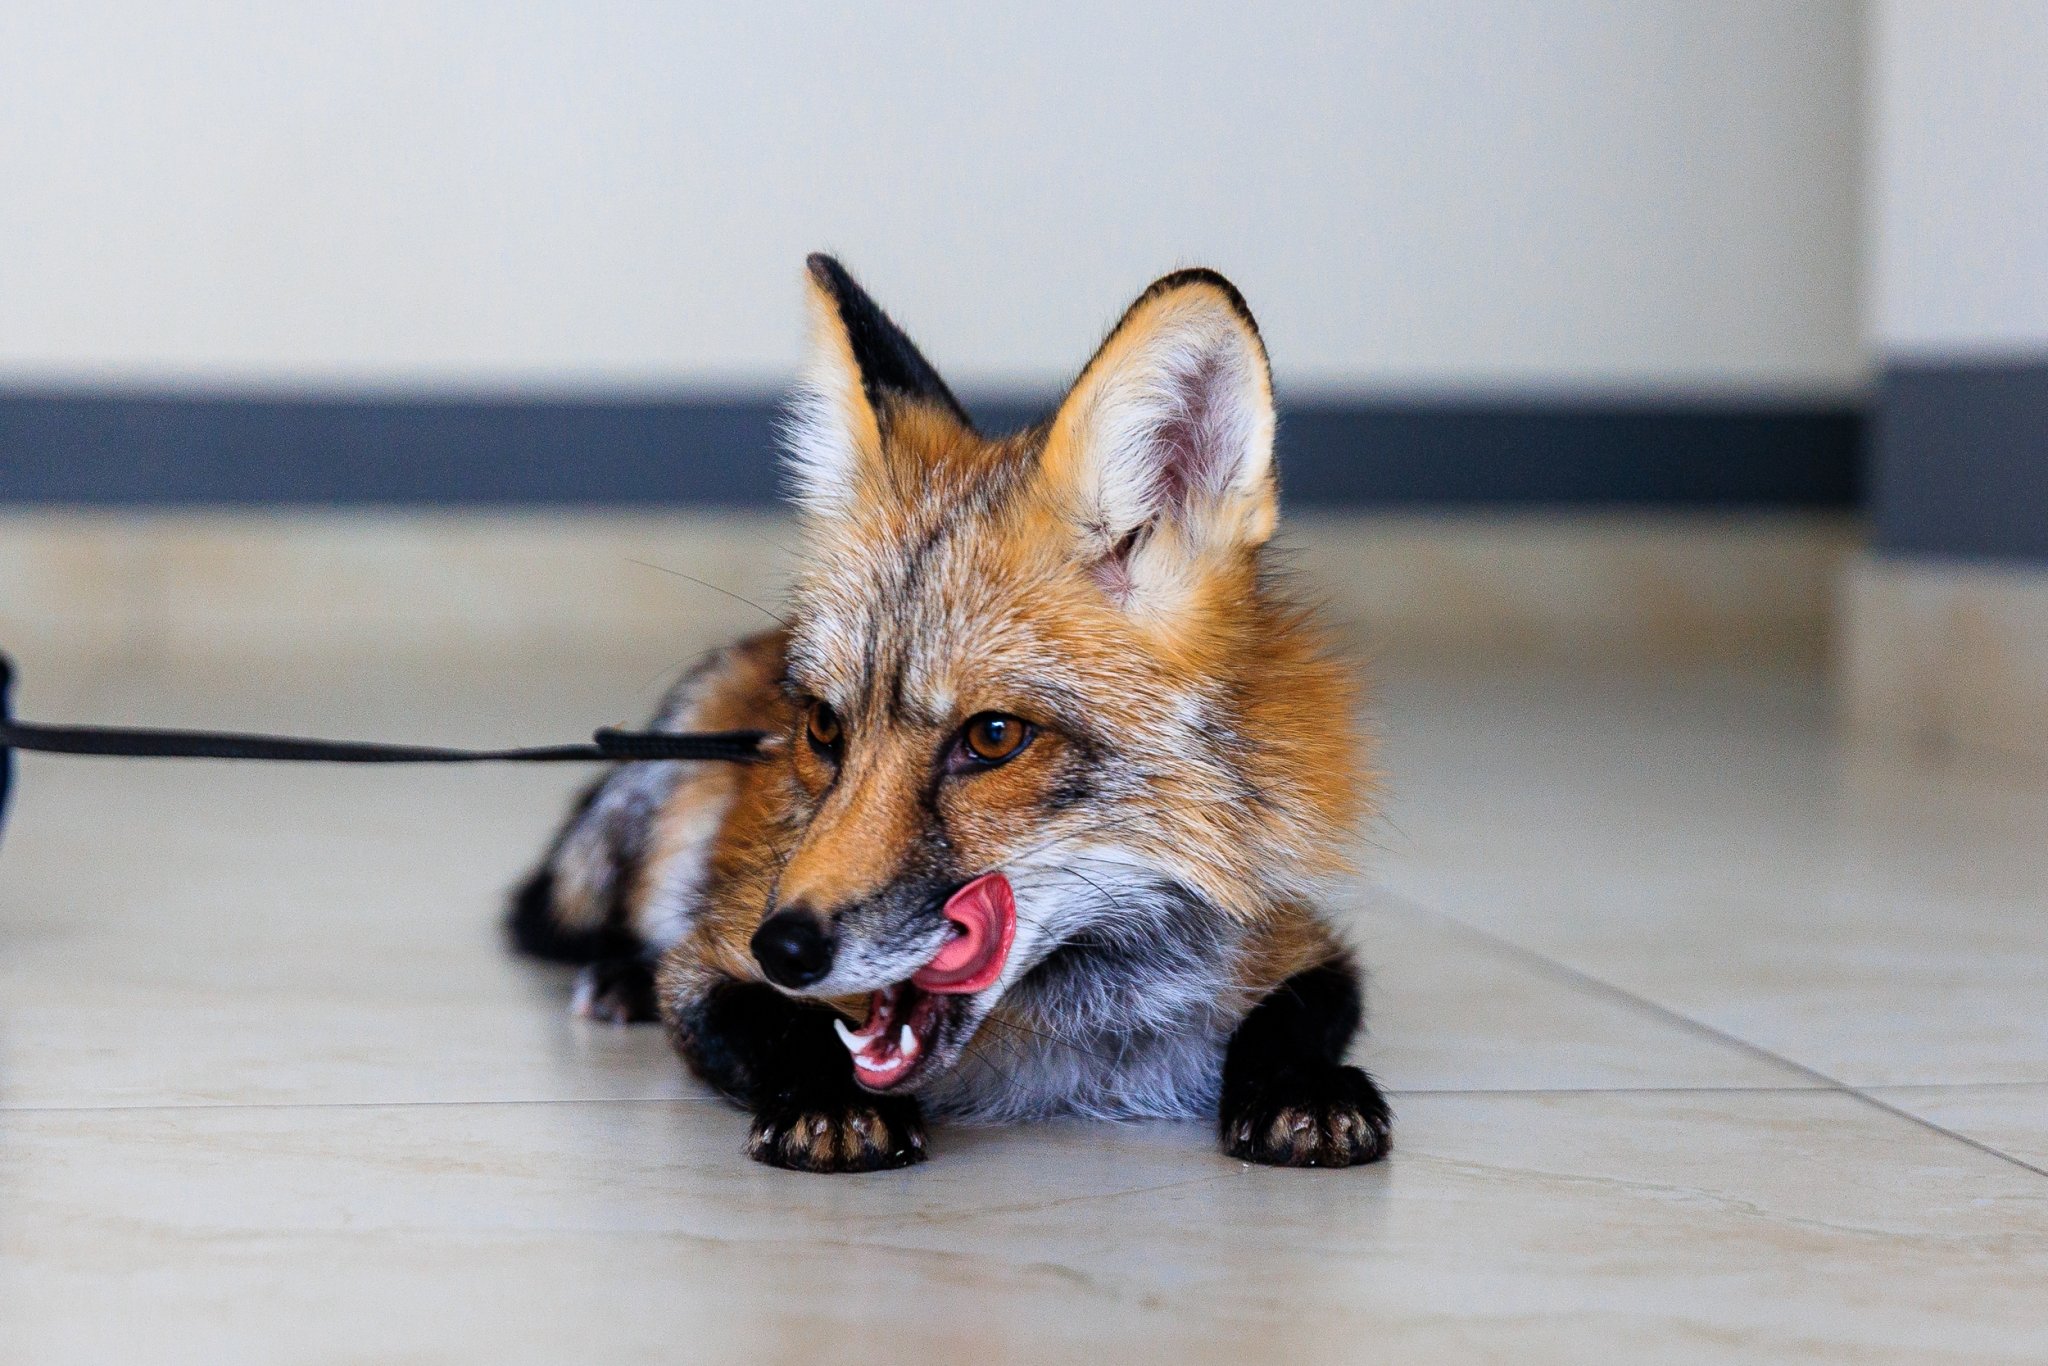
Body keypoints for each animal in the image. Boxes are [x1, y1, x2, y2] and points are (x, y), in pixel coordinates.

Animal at [508, 254, 1390, 1173]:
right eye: (825, 728)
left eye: (994, 737)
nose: (783, 949)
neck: (1088, 1033)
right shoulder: (707, 961)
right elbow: (773, 1026)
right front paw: (828, 1097)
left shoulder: (1296, 939)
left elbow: (1296, 1017)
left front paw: (1301, 1089)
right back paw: (617, 976)